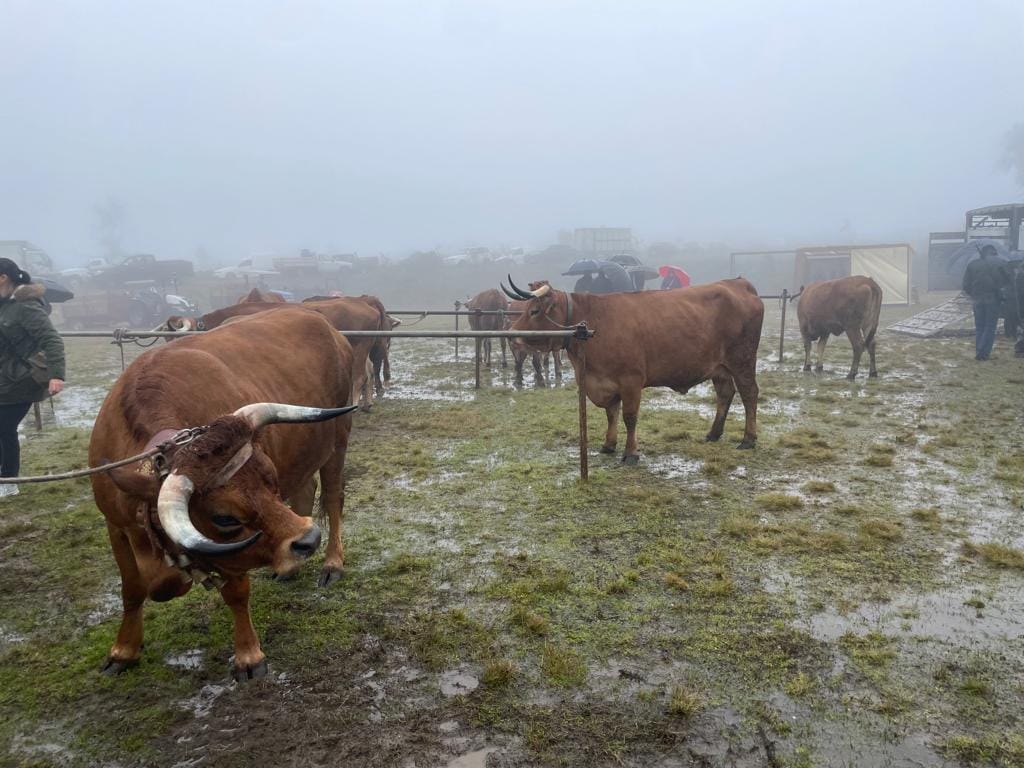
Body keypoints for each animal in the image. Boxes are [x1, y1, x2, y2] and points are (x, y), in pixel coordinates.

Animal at [89, 309, 360, 684]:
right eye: (224, 517)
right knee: (305, 492)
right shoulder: (115, 526)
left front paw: (248, 655)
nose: (308, 539)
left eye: (270, 479)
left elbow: (235, 592)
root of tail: (322, 322)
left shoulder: (237, 551)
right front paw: (123, 651)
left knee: (333, 499)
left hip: (337, 441)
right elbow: (132, 589)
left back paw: (332, 562)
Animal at [503, 280, 761, 466]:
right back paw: (714, 433)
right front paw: (609, 444)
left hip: (742, 361)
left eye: (535, 311)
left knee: (749, 394)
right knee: (725, 394)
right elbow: (611, 414)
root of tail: (737, 283)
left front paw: (631, 453)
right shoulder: (605, 382)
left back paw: (748, 439)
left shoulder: (631, 380)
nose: (511, 334)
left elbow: (629, 417)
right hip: (719, 368)